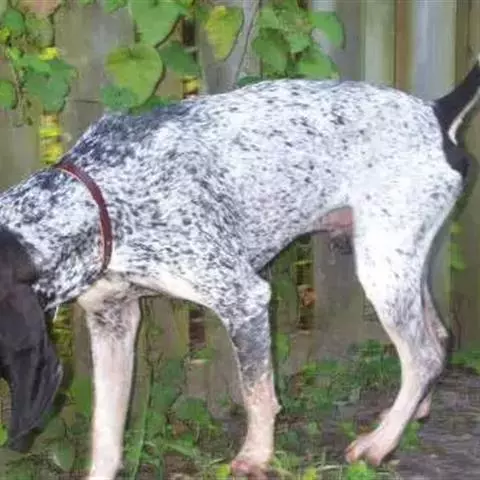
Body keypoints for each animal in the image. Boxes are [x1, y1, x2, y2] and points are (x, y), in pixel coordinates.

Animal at [0, 54, 479, 479]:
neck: (99, 198)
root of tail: (435, 113)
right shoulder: (111, 321)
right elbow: (106, 431)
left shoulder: (243, 298)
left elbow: (257, 395)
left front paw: (256, 456)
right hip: (399, 262)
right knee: (439, 339)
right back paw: (411, 414)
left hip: (381, 267)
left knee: (423, 356)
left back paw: (379, 443)